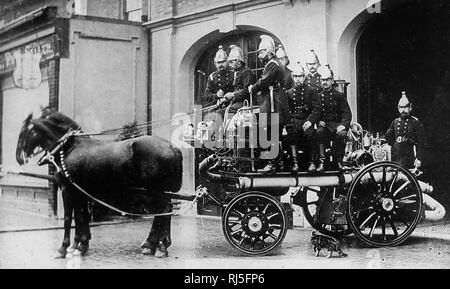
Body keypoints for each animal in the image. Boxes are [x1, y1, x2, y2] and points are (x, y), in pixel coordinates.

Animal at [16, 107, 183, 256]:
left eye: (24, 132)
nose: (18, 158)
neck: (69, 147)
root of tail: (171, 147)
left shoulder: (67, 189)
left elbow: (70, 218)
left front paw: (65, 247)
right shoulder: (80, 191)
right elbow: (80, 216)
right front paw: (80, 244)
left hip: (154, 190)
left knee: (162, 211)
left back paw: (159, 246)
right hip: (159, 191)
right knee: (164, 212)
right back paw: (155, 244)